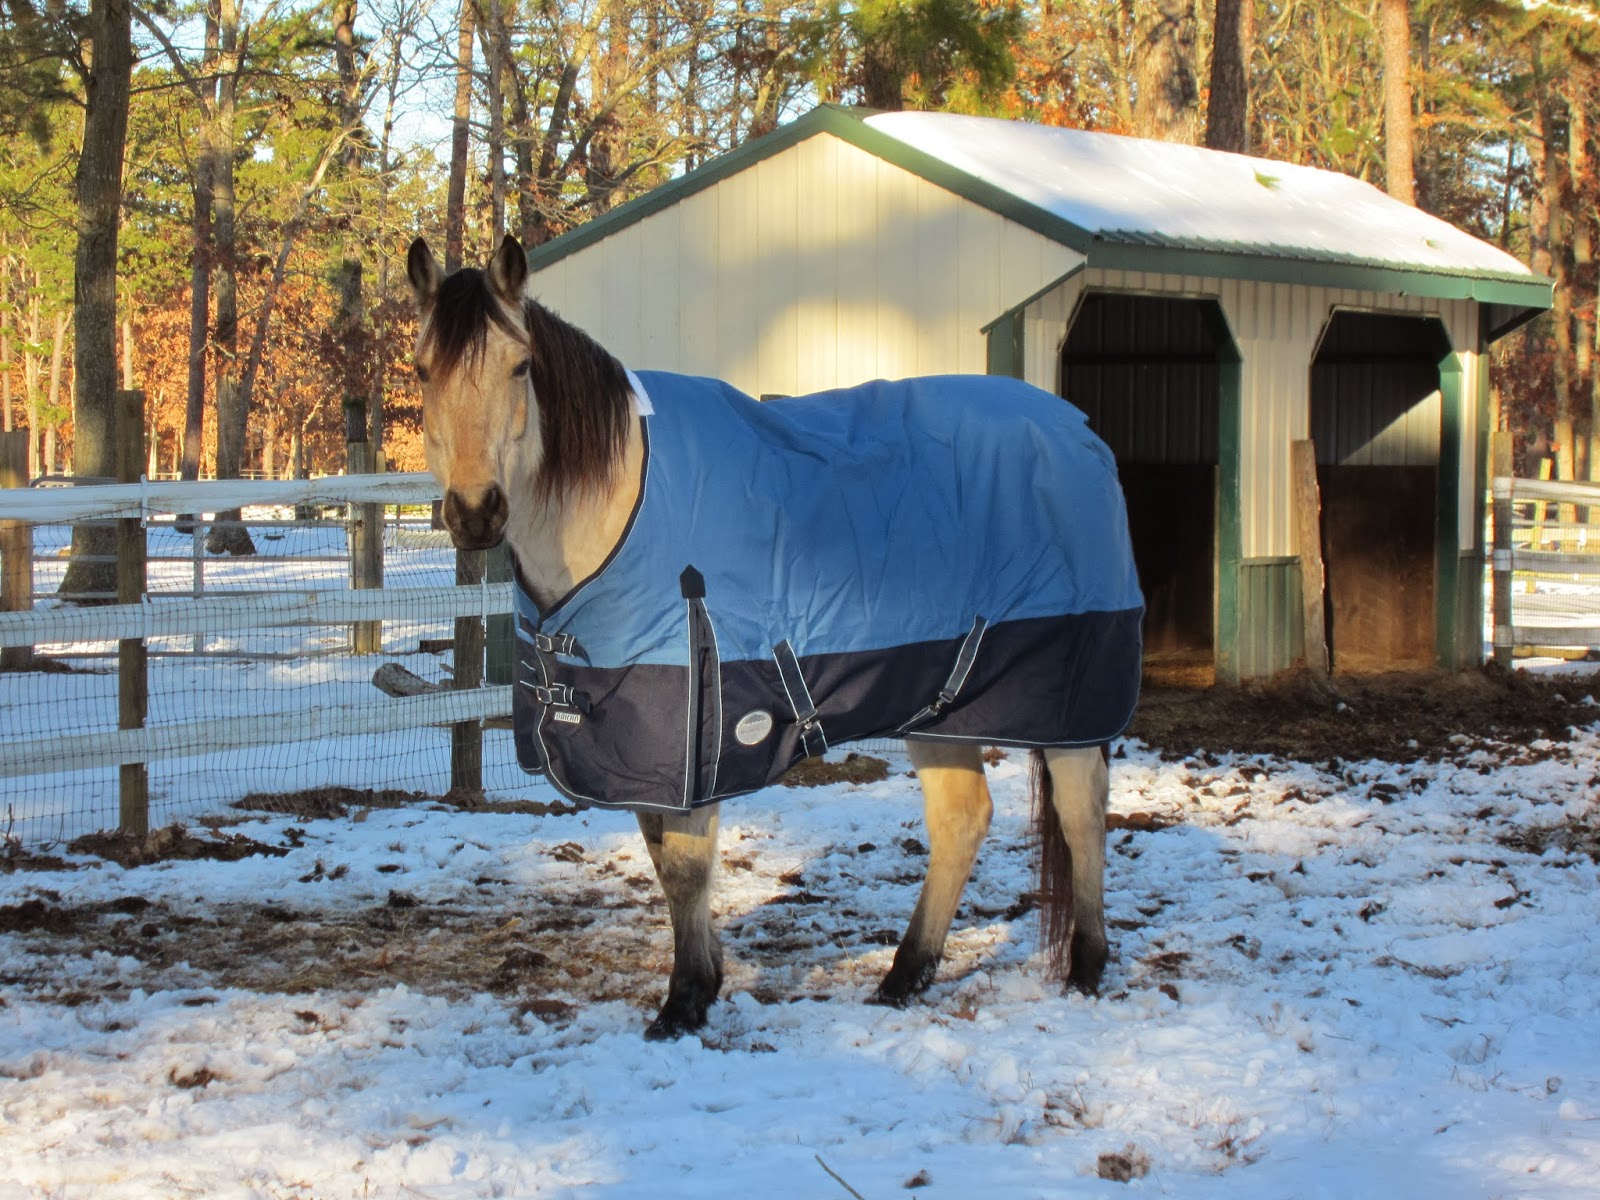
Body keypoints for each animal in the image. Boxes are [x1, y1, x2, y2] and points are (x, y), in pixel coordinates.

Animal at [406, 235, 1144, 1040]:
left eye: (520, 366)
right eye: (421, 369)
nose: (476, 512)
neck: (624, 507)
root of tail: (1079, 431)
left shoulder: (697, 731)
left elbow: (686, 865)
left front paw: (684, 1003)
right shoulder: (642, 746)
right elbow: (663, 858)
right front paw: (703, 983)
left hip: (1068, 699)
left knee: (1081, 813)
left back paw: (1085, 968)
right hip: (940, 702)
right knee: (961, 820)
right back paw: (904, 977)